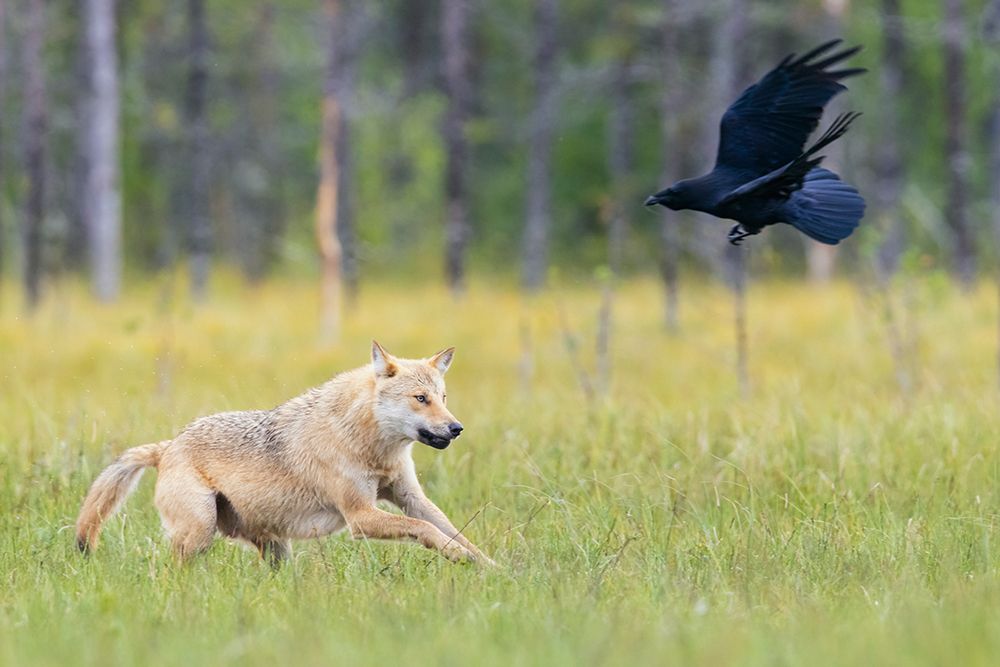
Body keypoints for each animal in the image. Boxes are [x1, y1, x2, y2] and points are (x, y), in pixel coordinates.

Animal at [75, 341, 493, 565]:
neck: (369, 444)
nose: (456, 428)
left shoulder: (410, 498)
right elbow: (425, 531)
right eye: (420, 399)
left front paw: (488, 566)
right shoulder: (360, 517)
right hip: (200, 534)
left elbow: (451, 532)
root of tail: (168, 446)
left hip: (276, 549)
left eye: (443, 398)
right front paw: (464, 560)